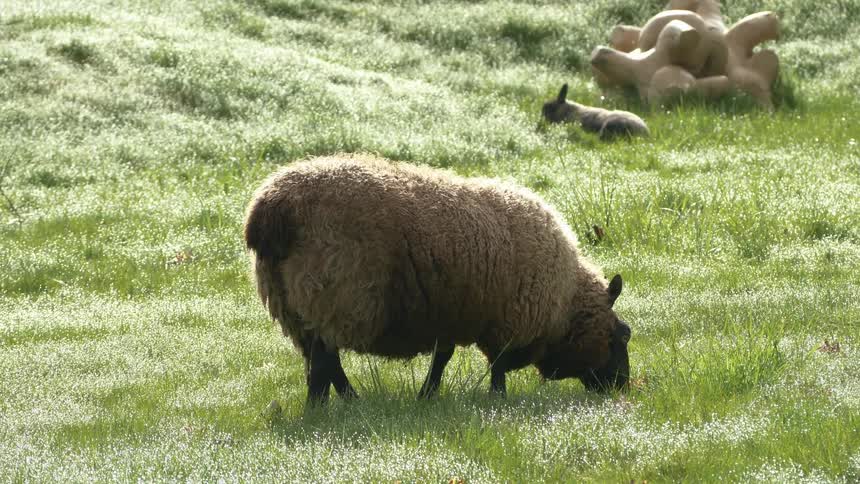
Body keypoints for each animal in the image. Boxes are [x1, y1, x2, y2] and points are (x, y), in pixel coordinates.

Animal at [244, 154, 632, 405]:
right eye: (622, 336)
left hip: (294, 303)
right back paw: (339, 404)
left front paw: (427, 396)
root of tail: (272, 209)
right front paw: (497, 399)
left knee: (318, 360)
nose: (623, 389)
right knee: (327, 359)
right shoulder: (507, 321)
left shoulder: (451, 313)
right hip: (335, 295)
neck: (565, 304)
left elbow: (442, 358)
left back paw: (331, 403)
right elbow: (497, 366)